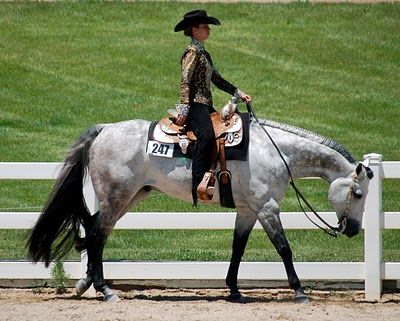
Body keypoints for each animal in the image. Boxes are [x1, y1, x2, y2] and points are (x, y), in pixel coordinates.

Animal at [26, 115, 374, 302]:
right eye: (358, 193)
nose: (353, 229)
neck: (276, 152)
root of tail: (105, 128)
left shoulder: (248, 210)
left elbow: (237, 248)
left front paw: (234, 290)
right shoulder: (267, 208)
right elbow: (284, 249)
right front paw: (300, 291)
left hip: (130, 196)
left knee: (94, 229)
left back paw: (86, 284)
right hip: (117, 197)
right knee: (97, 235)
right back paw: (105, 289)